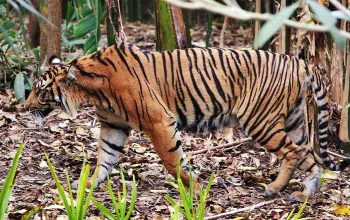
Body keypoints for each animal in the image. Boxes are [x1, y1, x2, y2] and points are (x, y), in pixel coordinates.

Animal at [23, 41, 348, 201]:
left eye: (40, 90)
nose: (24, 106)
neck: (91, 92)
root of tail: (300, 61)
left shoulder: (159, 121)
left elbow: (171, 161)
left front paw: (194, 187)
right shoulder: (113, 126)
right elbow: (105, 157)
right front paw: (87, 185)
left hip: (260, 120)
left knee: (294, 153)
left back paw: (275, 189)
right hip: (294, 121)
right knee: (309, 156)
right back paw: (304, 194)